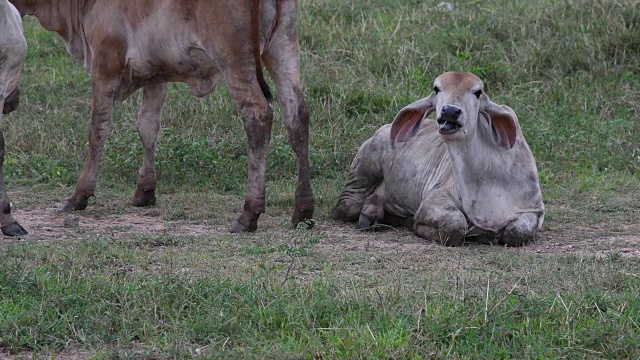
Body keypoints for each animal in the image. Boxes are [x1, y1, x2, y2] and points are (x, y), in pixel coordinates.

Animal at [11, 0, 316, 232]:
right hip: (283, 48)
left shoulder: (105, 66)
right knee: (297, 114)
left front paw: (79, 195)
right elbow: (147, 126)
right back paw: (303, 210)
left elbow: (97, 131)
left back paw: (249, 214)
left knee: (258, 115)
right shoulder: (155, 76)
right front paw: (145, 191)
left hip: (234, 59)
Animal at [336, 71, 544, 246]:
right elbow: (455, 225)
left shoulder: (533, 211)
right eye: (437, 88)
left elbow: (517, 232)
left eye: (477, 92)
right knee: (348, 204)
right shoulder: (433, 200)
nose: (450, 111)